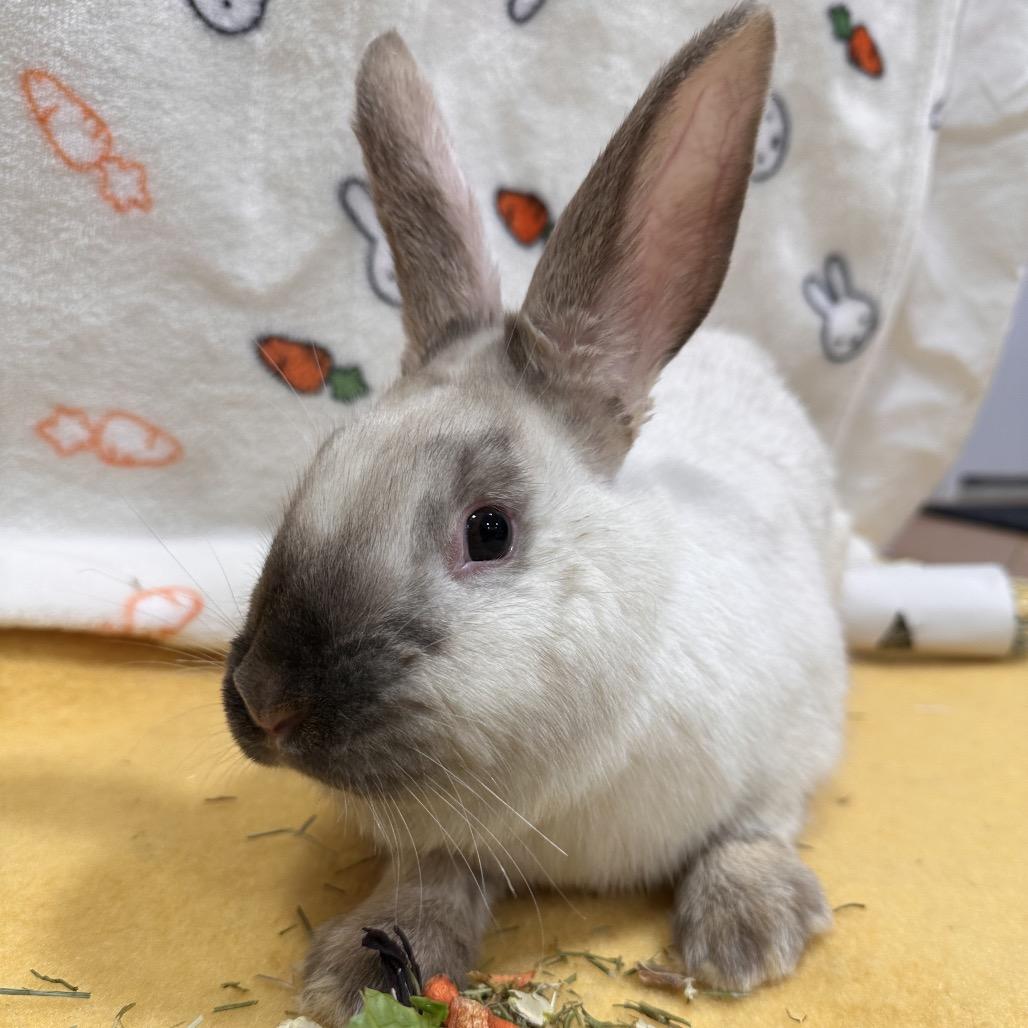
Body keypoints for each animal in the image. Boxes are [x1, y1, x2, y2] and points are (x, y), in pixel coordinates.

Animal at [221, 4, 849, 1024]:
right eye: (322, 463)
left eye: (489, 530)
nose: (266, 699)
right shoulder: (440, 842)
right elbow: (430, 881)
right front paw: (357, 971)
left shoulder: (793, 737)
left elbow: (756, 826)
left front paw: (749, 937)